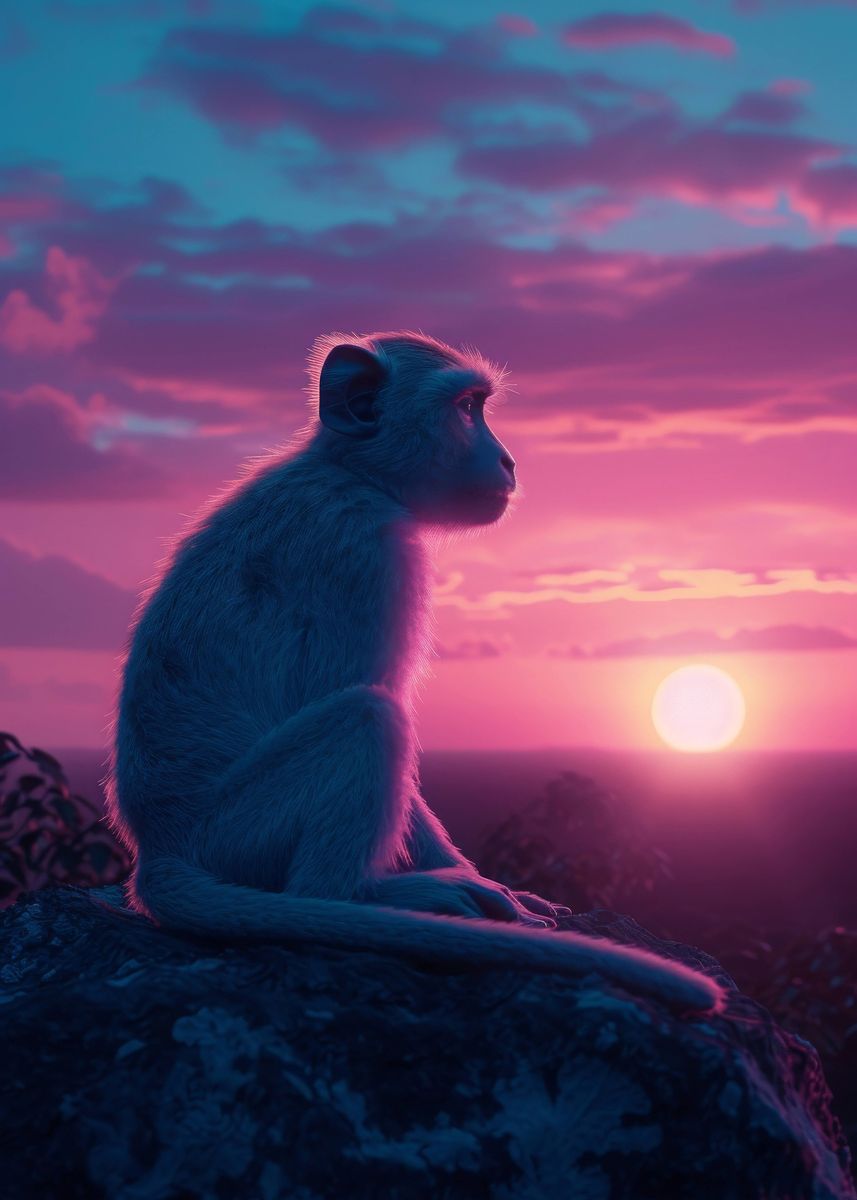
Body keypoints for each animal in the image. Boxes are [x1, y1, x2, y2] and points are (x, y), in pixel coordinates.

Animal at [101, 330, 724, 1015]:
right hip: (234, 835)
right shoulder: (368, 552)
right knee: (366, 717)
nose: (509, 461)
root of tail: (157, 849)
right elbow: (349, 691)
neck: (352, 472)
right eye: (468, 408)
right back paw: (356, 896)